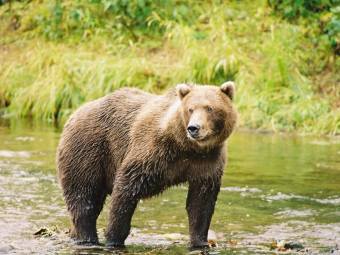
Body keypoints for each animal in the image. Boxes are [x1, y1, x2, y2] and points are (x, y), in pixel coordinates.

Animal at [56, 81, 236, 247]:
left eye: (210, 108)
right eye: (190, 109)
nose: (194, 128)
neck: (186, 147)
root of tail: (75, 113)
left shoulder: (206, 163)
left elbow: (201, 202)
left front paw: (200, 242)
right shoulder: (152, 152)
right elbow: (126, 188)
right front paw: (114, 238)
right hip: (88, 150)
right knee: (84, 197)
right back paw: (88, 238)